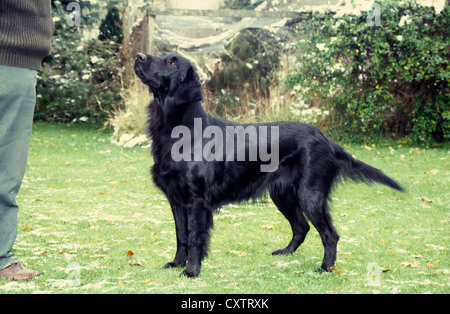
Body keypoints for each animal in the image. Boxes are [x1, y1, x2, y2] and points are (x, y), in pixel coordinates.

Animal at [134, 52, 404, 278]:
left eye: (172, 62)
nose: (139, 56)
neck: (180, 132)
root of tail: (326, 139)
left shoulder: (196, 200)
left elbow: (194, 238)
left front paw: (191, 270)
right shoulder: (176, 199)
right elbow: (181, 235)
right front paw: (176, 263)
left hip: (309, 194)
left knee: (329, 234)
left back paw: (325, 268)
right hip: (282, 194)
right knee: (301, 227)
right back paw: (285, 253)